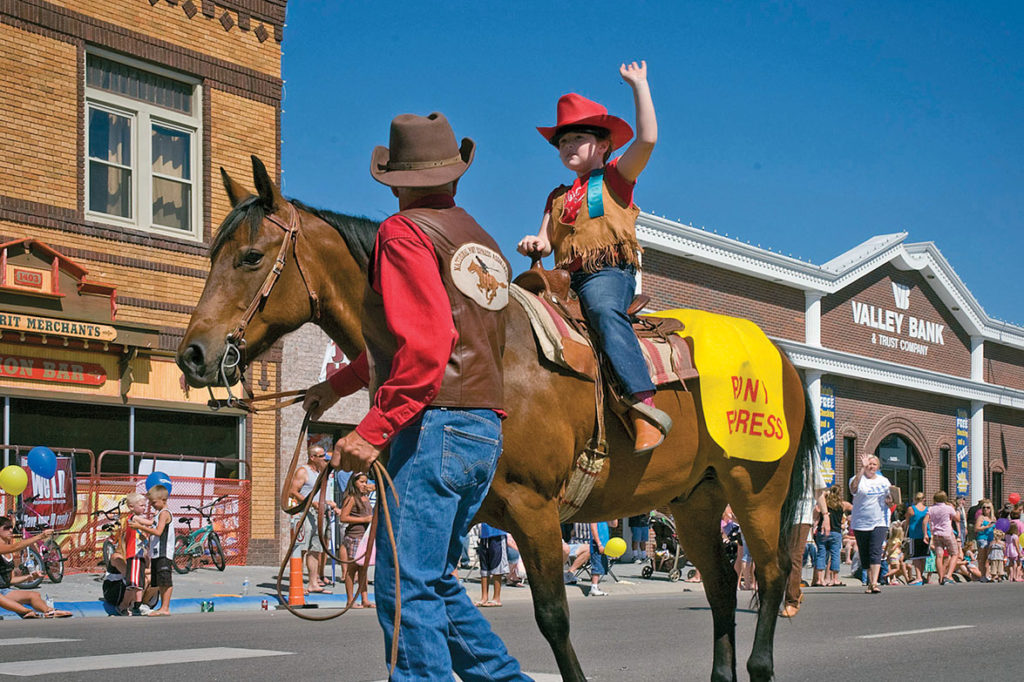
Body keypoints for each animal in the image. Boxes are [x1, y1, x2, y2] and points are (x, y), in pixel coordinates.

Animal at [180, 155, 811, 679]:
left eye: (251, 257)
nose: (194, 354)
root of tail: (781, 357)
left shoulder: (536, 511)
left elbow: (553, 618)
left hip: (756, 490)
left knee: (772, 574)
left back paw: (760, 665)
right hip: (695, 500)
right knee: (723, 586)